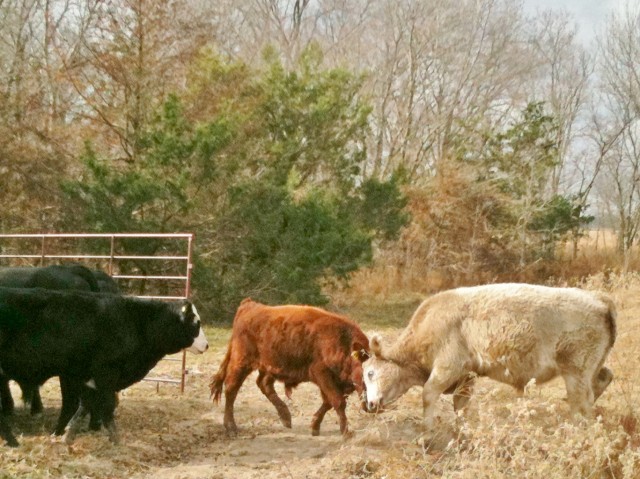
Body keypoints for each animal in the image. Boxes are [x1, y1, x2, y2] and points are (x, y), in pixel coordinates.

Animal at [0, 286, 208, 448]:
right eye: (196, 323)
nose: (206, 345)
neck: (134, 321)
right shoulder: (106, 373)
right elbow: (106, 406)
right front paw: (116, 440)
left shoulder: (89, 378)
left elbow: (85, 405)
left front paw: (67, 435)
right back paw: (13, 441)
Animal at [210, 300, 370, 438]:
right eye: (368, 374)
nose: (372, 406)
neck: (343, 342)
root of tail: (249, 306)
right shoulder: (322, 375)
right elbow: (337, 401)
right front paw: (346, 431)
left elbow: (328, 402)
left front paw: (315, 426)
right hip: (241, 363)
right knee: (231, 389)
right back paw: (231, 427)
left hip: (270, 366)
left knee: (263, 384)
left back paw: (286, 417)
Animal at [362, 284, 616, 430]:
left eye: (371, 372)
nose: (368, 404)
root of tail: (600, 299)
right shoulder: (466, 376)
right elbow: (460, 404)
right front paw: (461, 430)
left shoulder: (447, 367)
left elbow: (428, 394)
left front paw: (427, 432)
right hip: (590, 369)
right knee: (603, 378)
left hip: (576, 372)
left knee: (581, 401)